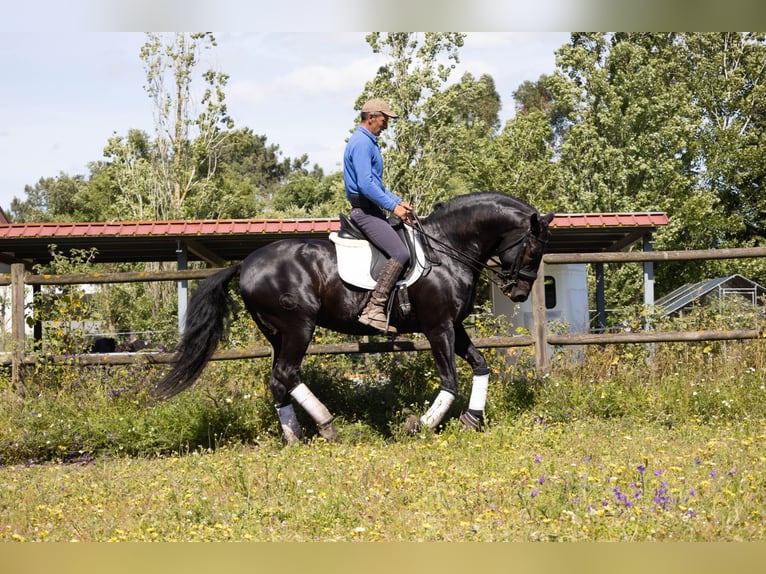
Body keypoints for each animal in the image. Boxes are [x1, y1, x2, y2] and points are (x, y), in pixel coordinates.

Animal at [154, 194, 552, 446]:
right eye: (533, 248)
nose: (518, 292)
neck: (448, 248)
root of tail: (245, 264)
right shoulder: (438, 327)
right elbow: (450, 380)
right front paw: (420, 425)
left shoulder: (454, 326)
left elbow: (481, 366)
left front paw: (472, 419)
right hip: (298, 327)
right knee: (286, 374)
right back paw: (326, 427)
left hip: (278, 333)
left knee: (279, 380)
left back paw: (298, 436)